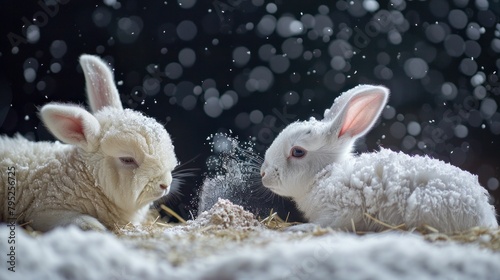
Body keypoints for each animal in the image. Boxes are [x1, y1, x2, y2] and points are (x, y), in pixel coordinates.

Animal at [0, 53, 178, 231]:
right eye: (127, 159)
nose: (165, 184)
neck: (82, 178)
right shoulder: (45, 210)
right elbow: (80, 222)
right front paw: (97, 228)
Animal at [260, 84, 498, 233]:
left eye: (297, 152)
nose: (263, 173)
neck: (325, 174)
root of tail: (484, 214)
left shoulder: (341, 211)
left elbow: (328, 225)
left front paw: (299, 228)